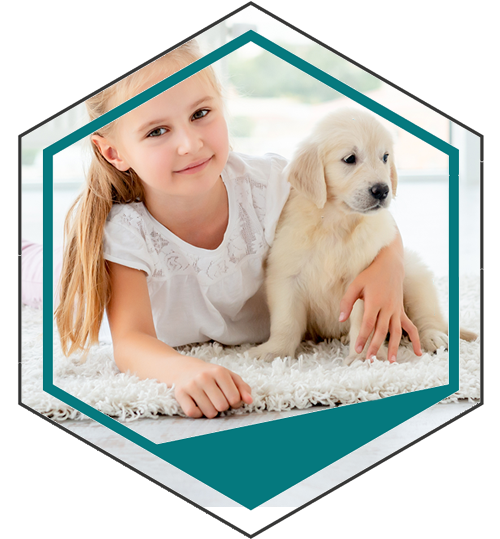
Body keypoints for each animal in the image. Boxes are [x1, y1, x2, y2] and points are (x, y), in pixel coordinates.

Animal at [250, 107, 476, 364]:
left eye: (385, 157)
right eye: (350, 159)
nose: (382, 190)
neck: (336, 221)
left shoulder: (367, 281)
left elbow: (364, 324)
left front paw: (363, 358)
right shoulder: (286, 275)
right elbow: (285, 321)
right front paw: (274, 351)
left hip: (413, 275)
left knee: (427, 317)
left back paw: (434, 337)